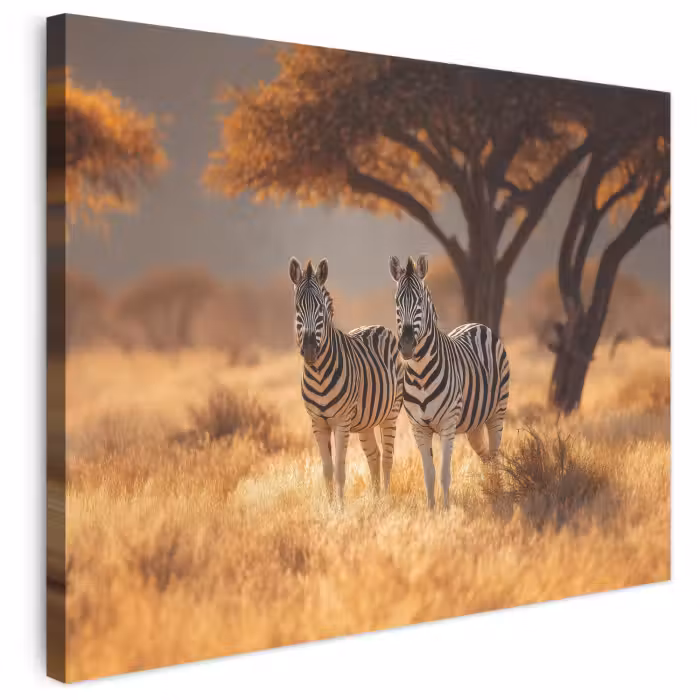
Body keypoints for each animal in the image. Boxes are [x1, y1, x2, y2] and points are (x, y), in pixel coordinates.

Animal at [289, 257, 404, 503]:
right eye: (297, 308)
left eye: (321, 309)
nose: (310, 349)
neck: (319, 374)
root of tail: (378, 326)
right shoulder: (318, 423)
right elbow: (327, 469)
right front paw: (330, 506)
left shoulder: (341, 422)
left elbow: (340, 469)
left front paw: (340, 508)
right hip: (365, 421)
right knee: (374, 455)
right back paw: (375, 500)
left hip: (391, 413)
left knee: (387, 458)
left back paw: (386, 500)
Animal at [389, 254, 510, 509]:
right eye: (397, 302)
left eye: (420, 302)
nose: (406, 346)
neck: (421, 373)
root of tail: (477, 324)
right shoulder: (419, 428)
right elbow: (429, 474)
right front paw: (431, 510)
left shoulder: (447, 424)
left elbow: (444, 474)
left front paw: (446, 510)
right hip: (474, 423)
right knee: (485, 455)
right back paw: (490, 488)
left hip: (497, 412)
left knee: (494, 455)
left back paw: (498, 493)